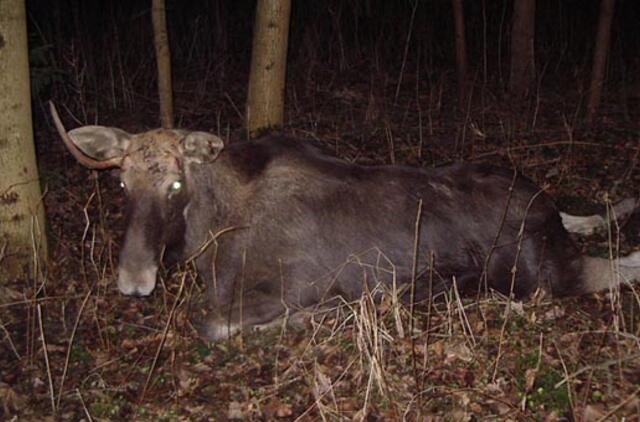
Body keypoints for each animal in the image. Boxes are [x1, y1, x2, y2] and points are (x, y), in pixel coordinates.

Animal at [50, 104, 640, 342]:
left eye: (176, 185)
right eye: (121, 184)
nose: (134, 281)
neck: (210, 238)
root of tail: (540, 200)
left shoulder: (283, 289)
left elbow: (214, 325)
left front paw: (315, 317)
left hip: (542, 273)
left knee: (621, 263)